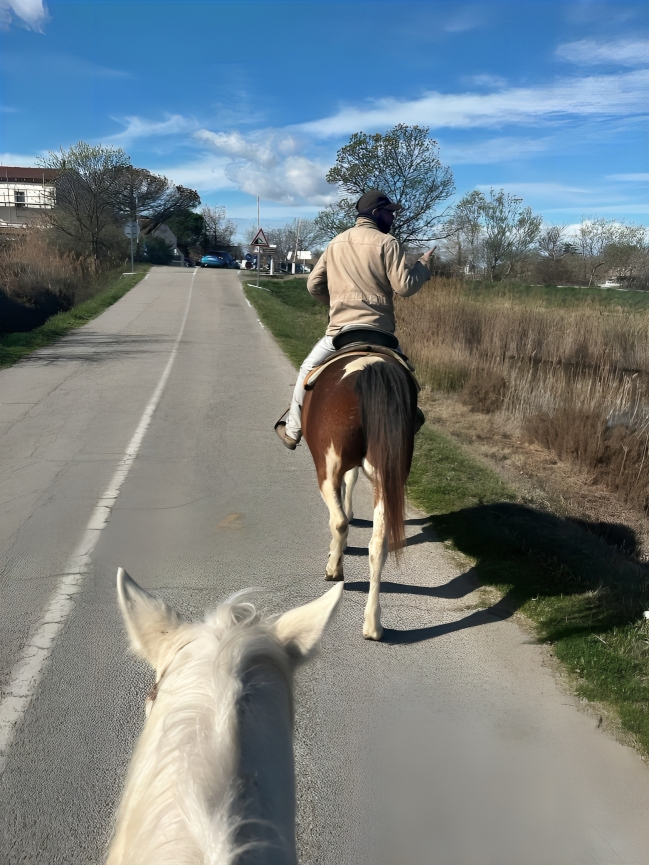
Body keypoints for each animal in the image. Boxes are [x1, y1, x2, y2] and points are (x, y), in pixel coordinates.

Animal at [302, 350, 417, 641]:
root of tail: (373, 368)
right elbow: (351, 480)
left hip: (327, 468)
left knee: (338, 521)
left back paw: (334, 569)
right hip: (387, 476)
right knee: (378, 545)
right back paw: (373, 624)